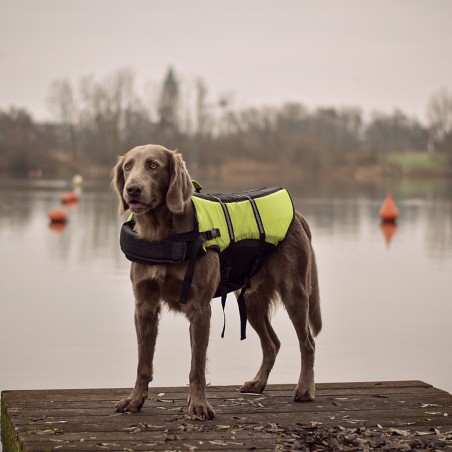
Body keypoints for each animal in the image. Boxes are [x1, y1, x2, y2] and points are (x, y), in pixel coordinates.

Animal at [112, 144, 322, 420]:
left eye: (153, 165)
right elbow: (143, 364)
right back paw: (258, 383)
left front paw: (199, 405)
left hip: (294, 293)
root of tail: (298, 216)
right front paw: (135, 400)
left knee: (307, 342)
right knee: (272, 343)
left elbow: (197, 367)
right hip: (251, 301)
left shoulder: (200, 309)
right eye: (128, 166)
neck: (161, 236)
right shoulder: (144, 307)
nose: (132, 189)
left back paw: (305, 389)